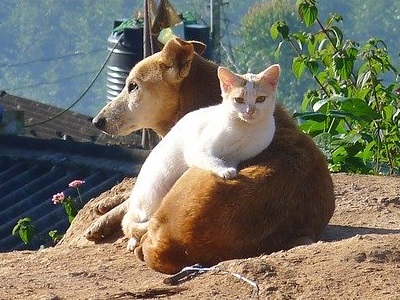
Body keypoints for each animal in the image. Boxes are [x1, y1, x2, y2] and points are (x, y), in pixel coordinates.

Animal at [122, 63, 282, 251]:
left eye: (261, 99)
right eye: (239, 100)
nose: (250, 111)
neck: (246, 129)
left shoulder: (239, 155)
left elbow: (231, 160)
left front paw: (230, 168)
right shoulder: (197, 150)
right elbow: (212, 159)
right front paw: (224, 171)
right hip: (151, 194)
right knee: (133, 222)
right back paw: (133, 240)